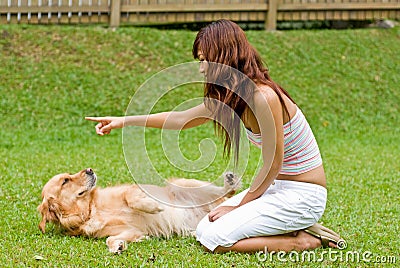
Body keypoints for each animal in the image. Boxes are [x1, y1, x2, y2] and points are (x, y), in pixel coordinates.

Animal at [37, 169, 239, 252]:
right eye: (65, 181)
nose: (89, 169)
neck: (90, 210)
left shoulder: (131, 189)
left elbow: (131, 197)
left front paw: (153, 206)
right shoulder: (129, 230)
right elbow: (111, 239)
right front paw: (117, 246)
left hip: (185, 184)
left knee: (226, 191)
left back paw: (230, 182)